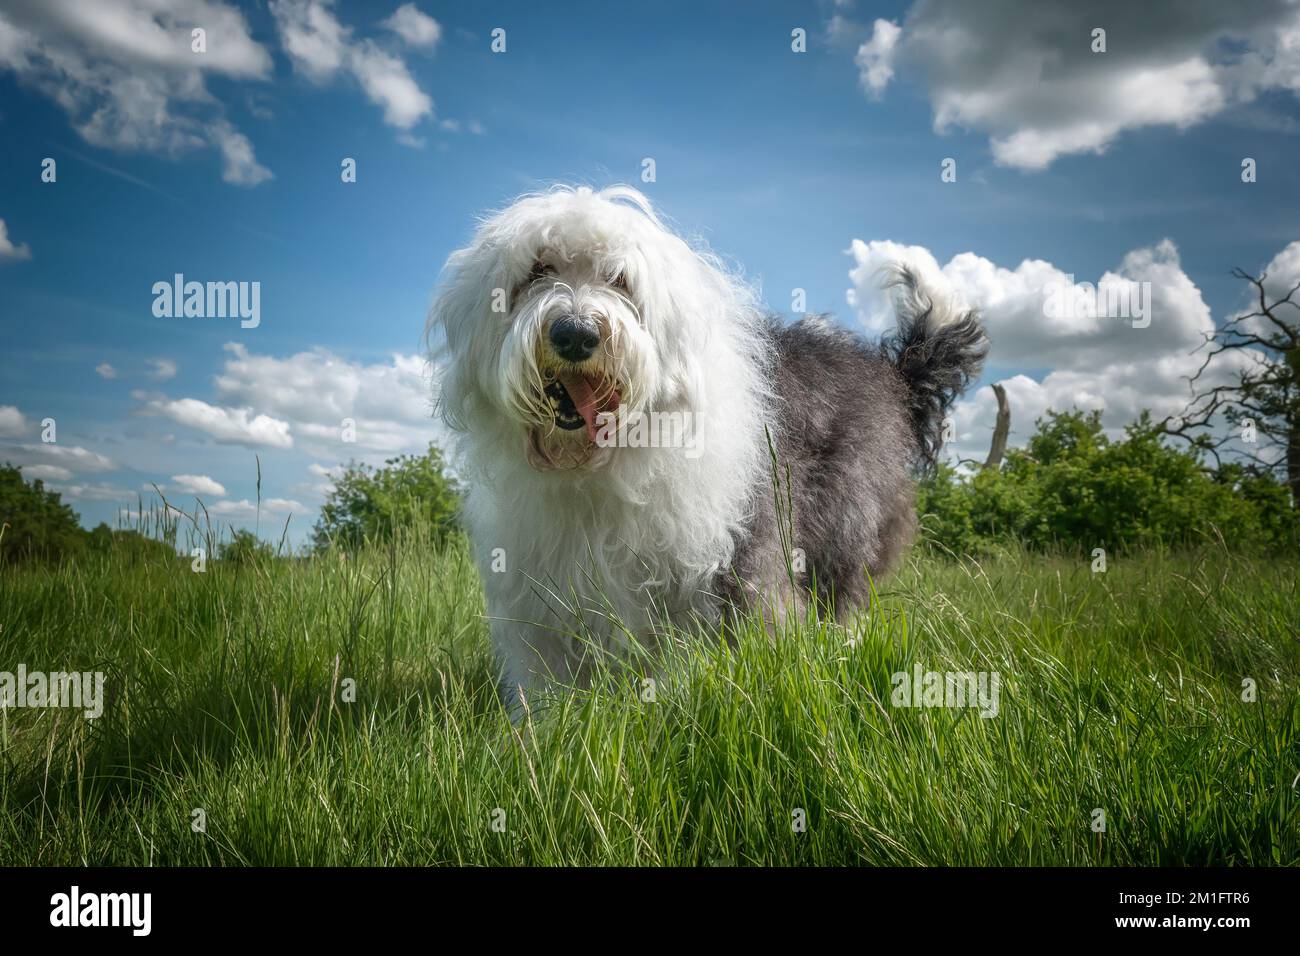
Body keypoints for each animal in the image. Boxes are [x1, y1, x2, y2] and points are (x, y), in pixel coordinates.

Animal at [426, 184, 982, 712]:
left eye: (619, 279)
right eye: (538, 270)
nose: (576, 333)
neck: (599, 464)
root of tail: (891, 375)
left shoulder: (726, 561)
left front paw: (672, 702)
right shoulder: (537, 585)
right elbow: (545, 674)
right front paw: (541, 729)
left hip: (846, 522)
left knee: (843, 599)